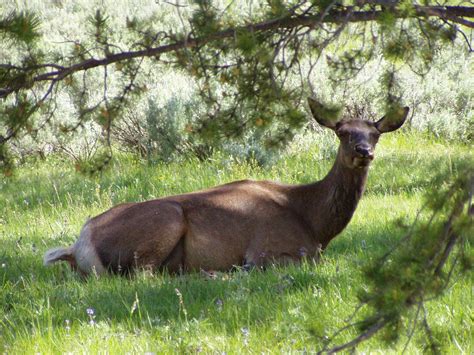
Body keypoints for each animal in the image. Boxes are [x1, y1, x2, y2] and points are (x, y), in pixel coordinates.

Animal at [42, 98, 410, 276]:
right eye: (342, 132)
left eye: (375, 133)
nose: (364, 151)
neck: (315, 224)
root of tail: (80, 244)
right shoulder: (268, 250)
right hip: (165, 219)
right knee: (145, 274)